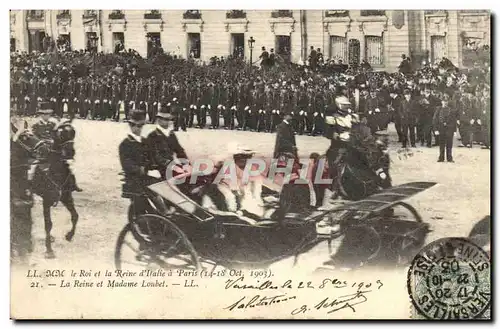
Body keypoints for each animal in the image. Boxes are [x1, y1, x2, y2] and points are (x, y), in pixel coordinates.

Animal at [15, 119, 80, 258]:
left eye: (73, 133)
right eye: (60, 134)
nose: (70, 152)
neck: (56, 171)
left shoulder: (66, 196)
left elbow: (75, 216)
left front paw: (69, 235)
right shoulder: (47, 200)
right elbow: (48, 224)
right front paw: (49, 250)